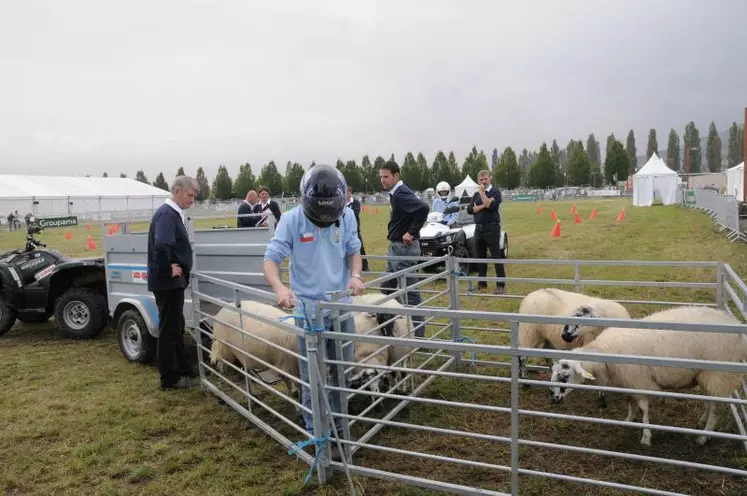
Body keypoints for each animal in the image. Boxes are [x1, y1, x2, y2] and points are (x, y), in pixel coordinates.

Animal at [548, 304, 747, 448]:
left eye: (565, 376)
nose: (552, 398)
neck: (605, 353)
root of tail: (737, 328)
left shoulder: (639, 383)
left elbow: (644, 410)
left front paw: (645, 436)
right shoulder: (628, 383)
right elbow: (631, 404)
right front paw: (628, 421)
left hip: (719, 375)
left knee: (716, 409)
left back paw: (703, 438)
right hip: (708, 376)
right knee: (710, 402)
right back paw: (701, 423)